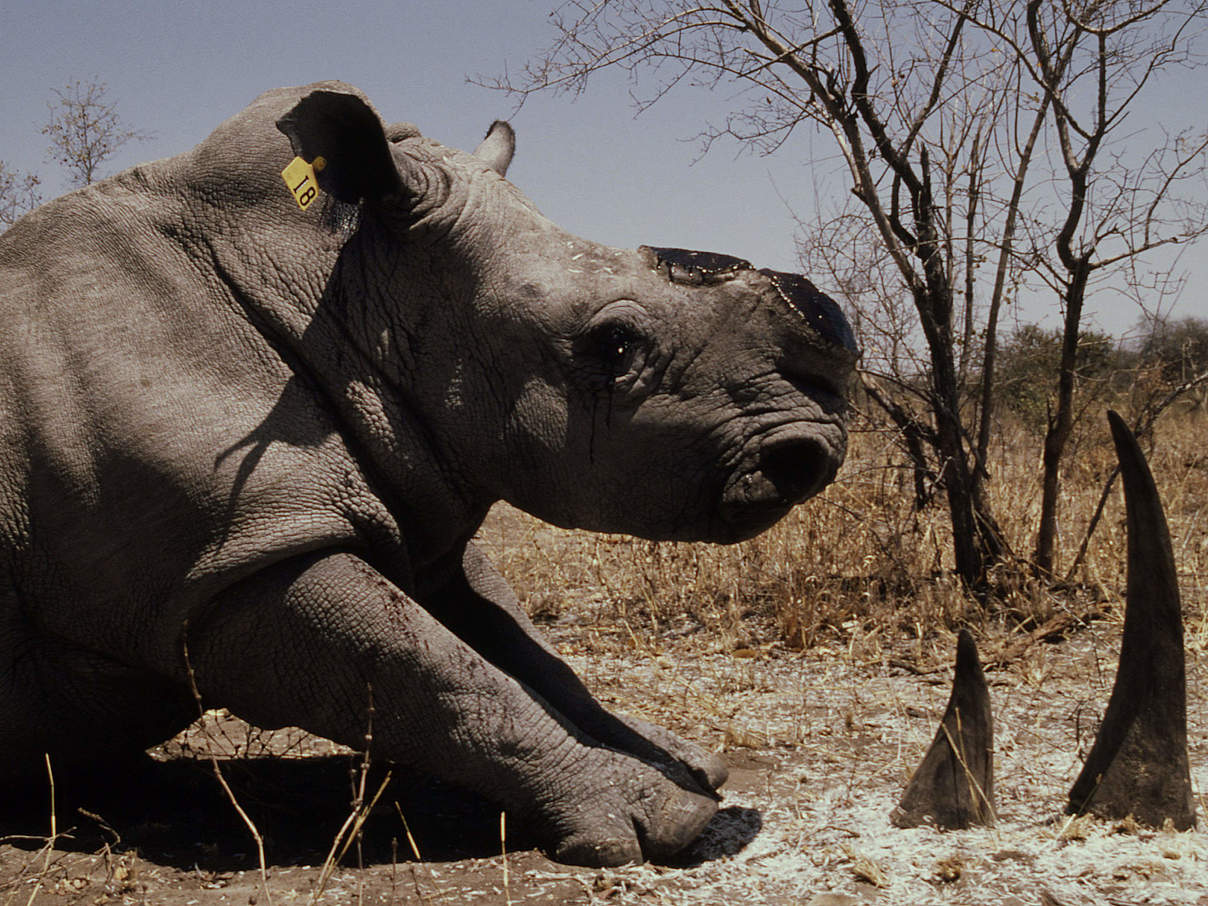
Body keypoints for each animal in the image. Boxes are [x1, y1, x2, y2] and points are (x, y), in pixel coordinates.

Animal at [0, 81, 855, 869]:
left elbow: (521, 653)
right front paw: (669, 820)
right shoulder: (226, 560)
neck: (341, 287)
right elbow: (440, 673)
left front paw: (688, 765)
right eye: (614, 345)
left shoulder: (420, 496)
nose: (811, 449)